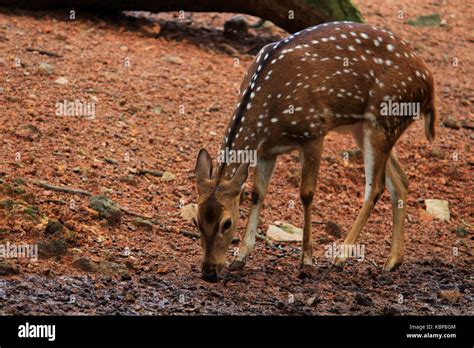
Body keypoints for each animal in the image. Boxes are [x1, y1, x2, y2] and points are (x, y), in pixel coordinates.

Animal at [193, 21, 436, 282]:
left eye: (227, 223)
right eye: (196, 220)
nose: (208, 272)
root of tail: (429, 85)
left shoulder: (314, 131)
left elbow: (306, 194)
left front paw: (307, 262)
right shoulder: (267, 151)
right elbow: (258, 193)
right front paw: (240, 257)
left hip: (384, 118)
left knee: (375, 187)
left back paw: (340, 258)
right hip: (364, 127)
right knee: (400, 181)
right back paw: (392, 262)